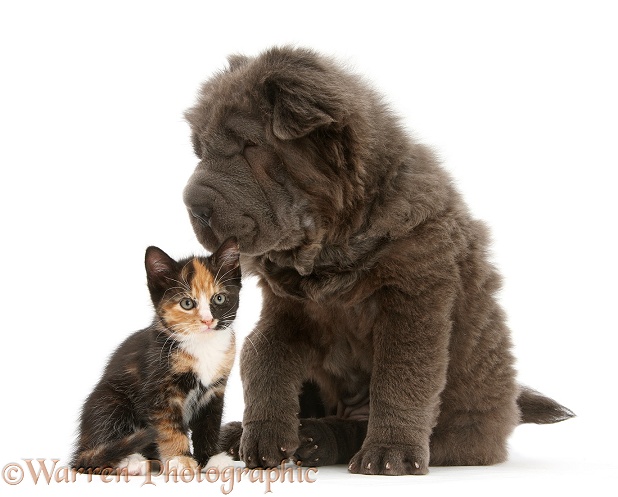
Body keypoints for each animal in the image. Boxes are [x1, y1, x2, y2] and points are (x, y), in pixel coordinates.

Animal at [69, 236, 238, 472]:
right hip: (110, 400)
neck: (201, 345)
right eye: (187, 303)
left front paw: (211, 459)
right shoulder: (160, 390)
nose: (207, 320)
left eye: (219, 299)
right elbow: (169, 428)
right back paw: (131, 461)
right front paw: (180, 460)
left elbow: (209, 425)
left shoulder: (215, 391)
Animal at [183, 47, 572, 476]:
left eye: (249, 146)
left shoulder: (413, 304)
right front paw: (263, 437)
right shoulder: (287, 313)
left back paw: (318, 440)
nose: (192, 205)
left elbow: (400, 378)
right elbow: (263, 357)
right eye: (200, 151)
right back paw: (251, 435)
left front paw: (391, 454)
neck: (331, 247)